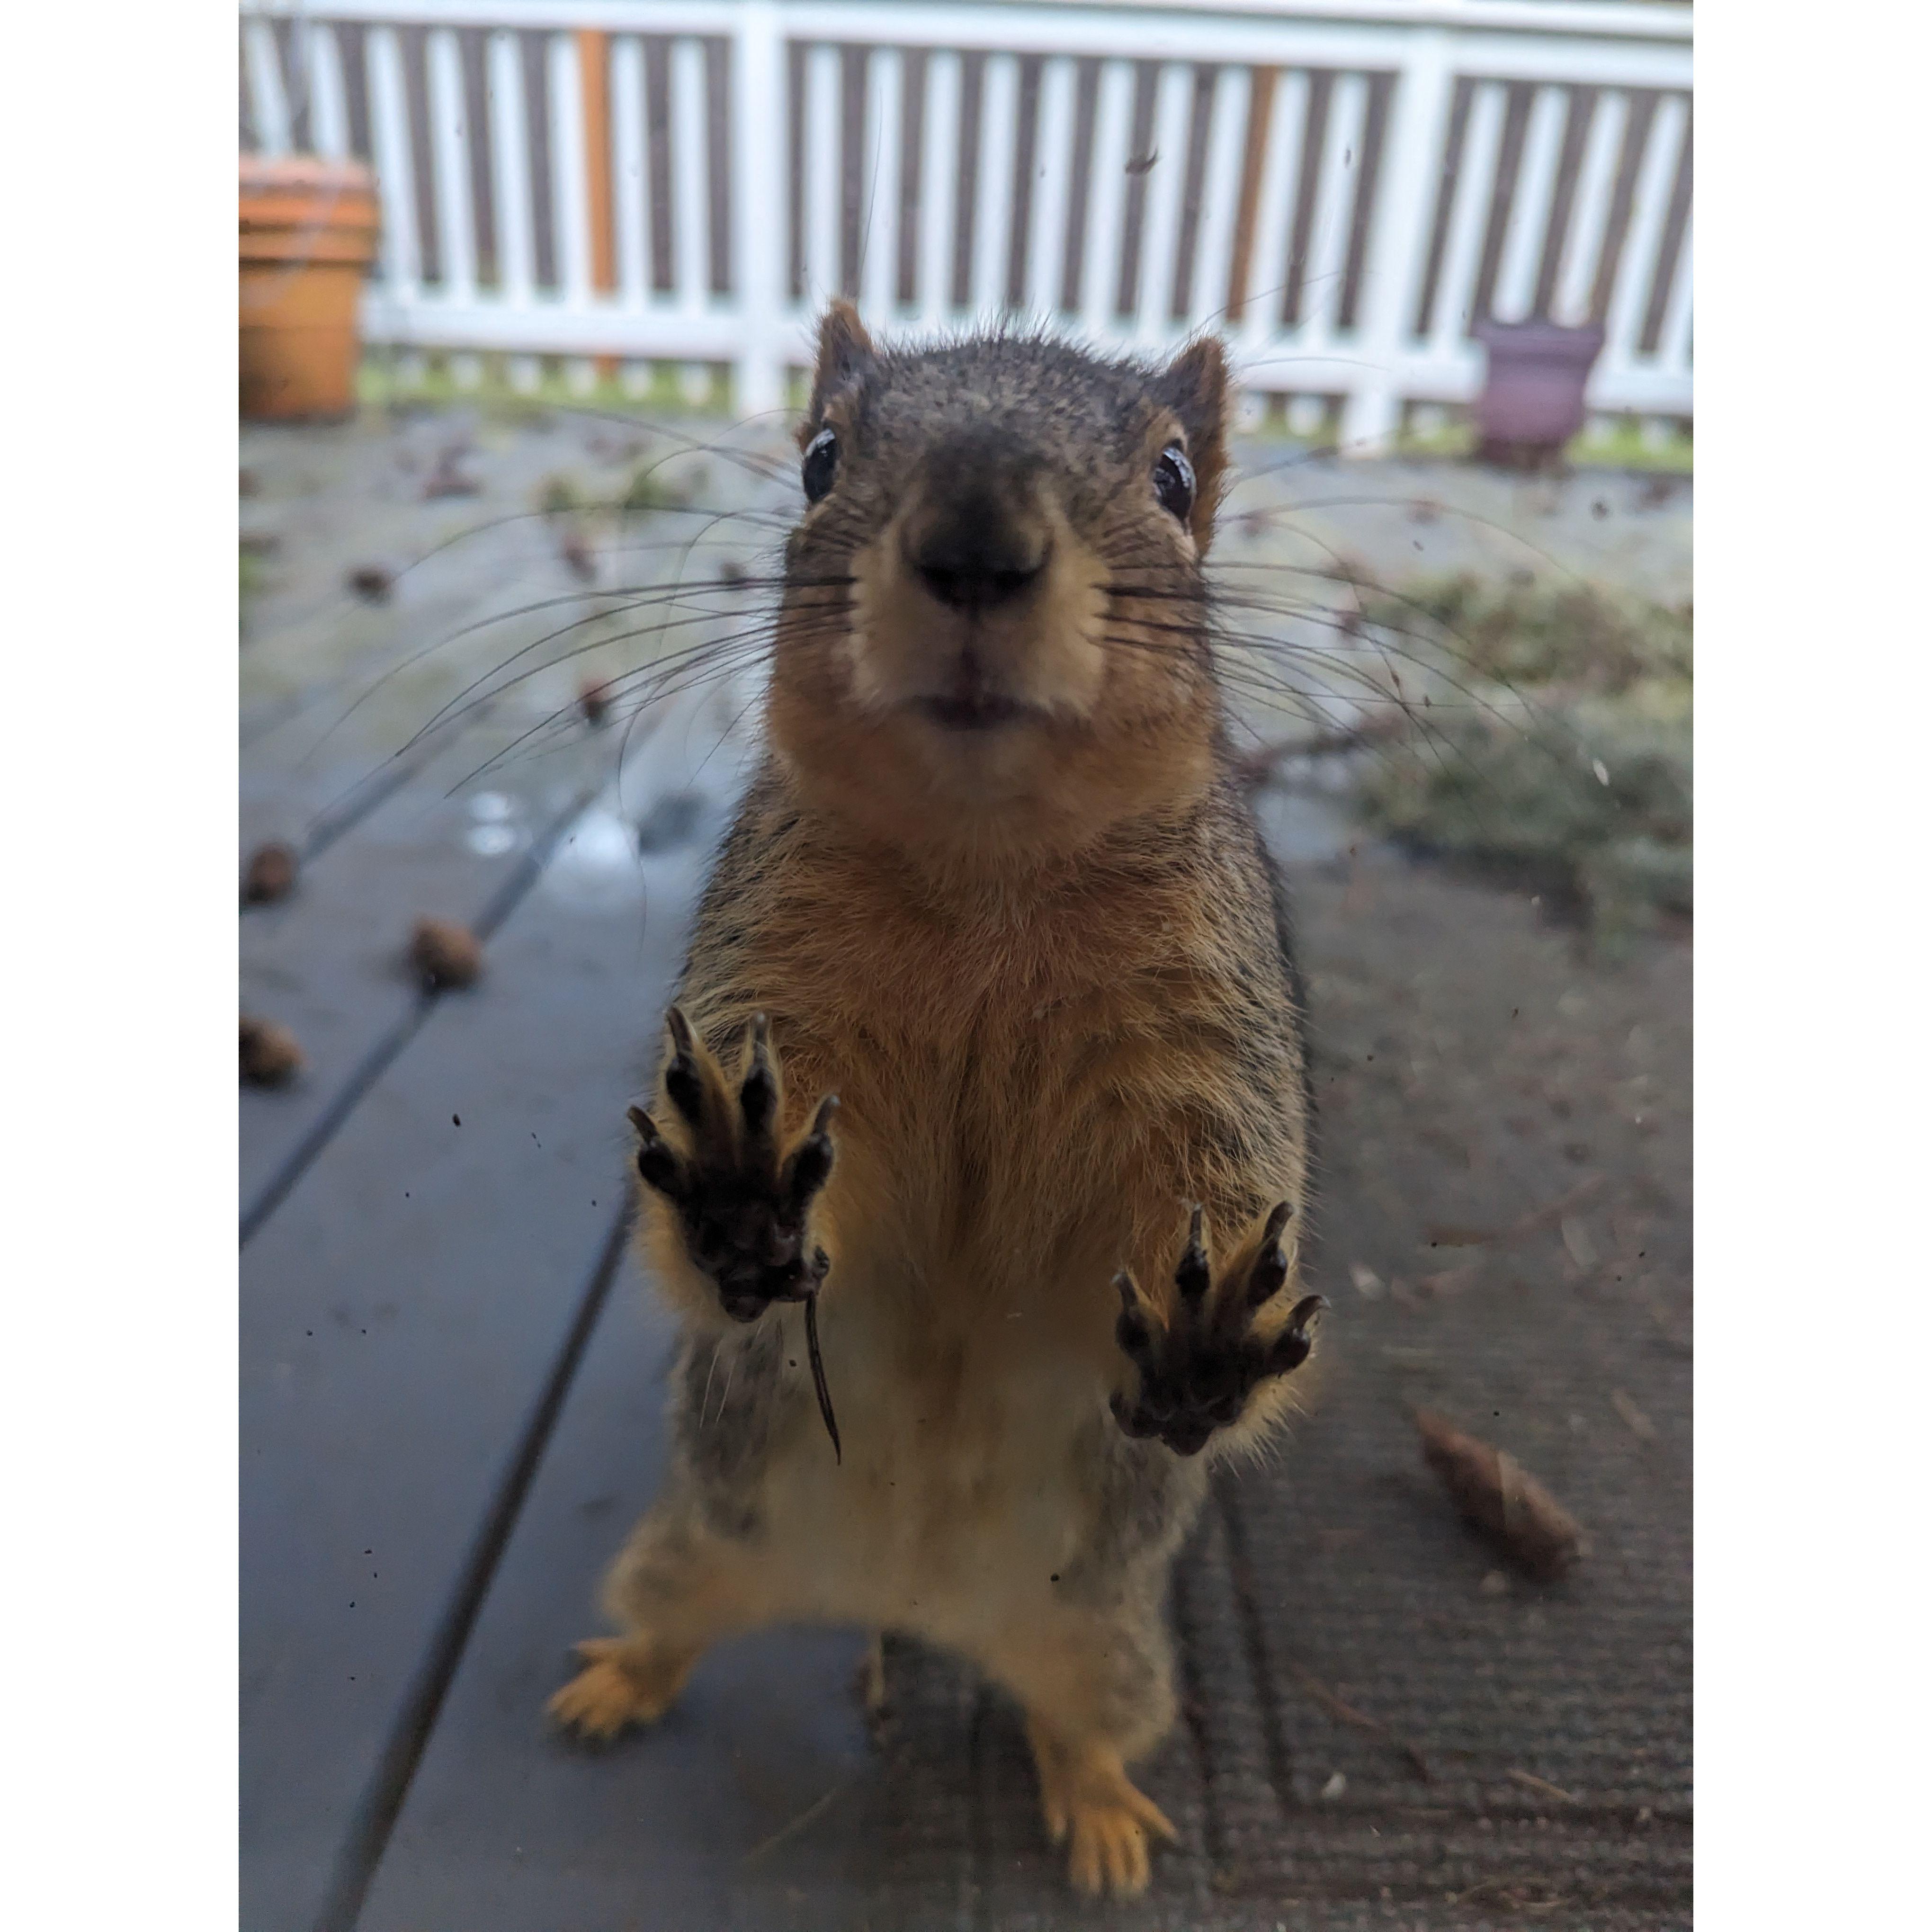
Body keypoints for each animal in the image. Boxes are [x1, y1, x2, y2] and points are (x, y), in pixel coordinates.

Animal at [548, 302, 1326, 1899]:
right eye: (820, 454)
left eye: (1174, 478)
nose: (973, 541)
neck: (985, 870)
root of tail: (910, 1599)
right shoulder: (761, 981)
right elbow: (714, 1242)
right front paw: (733, 1192)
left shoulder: (1212, 1047)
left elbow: (1214, 1201)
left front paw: (1215, 1332)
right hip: (692, 1541)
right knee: (672, 1625)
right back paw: (620, 1684)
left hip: (1108, 1649)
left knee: (1078, 1726)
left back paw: (1100, 1812)